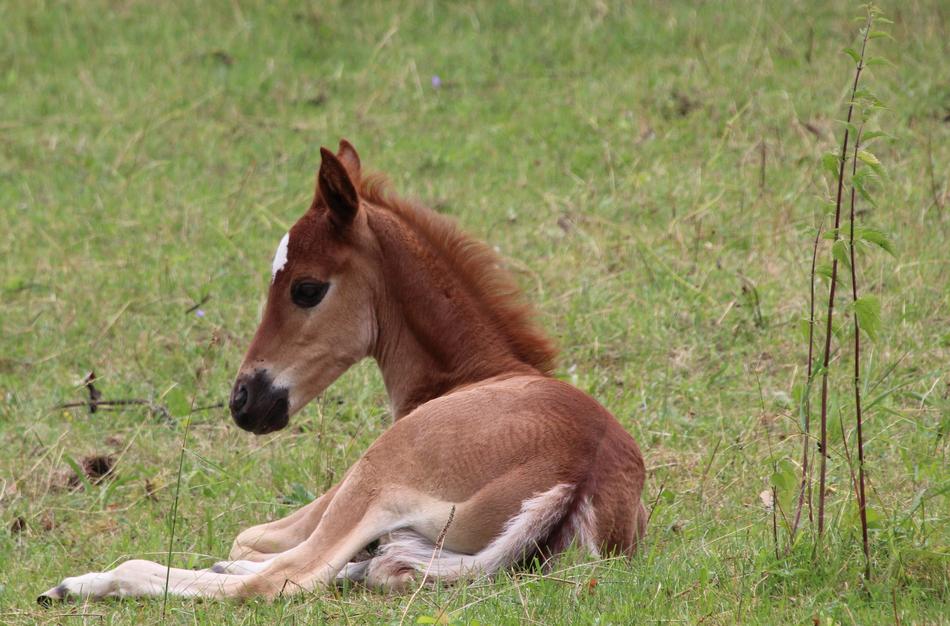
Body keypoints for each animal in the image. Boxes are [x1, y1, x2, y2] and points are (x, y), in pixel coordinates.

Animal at [39, 140, 647, 602]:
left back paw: (83, 583)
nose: (244, 400)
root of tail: (576, 478)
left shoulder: (339, 494)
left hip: (372, 475)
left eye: (306, 288)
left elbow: (248, 541)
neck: (478, 372)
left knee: (282, 579)